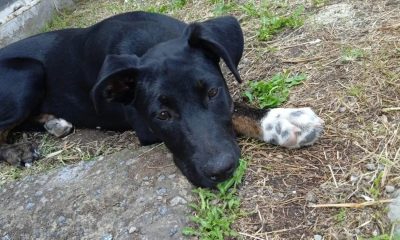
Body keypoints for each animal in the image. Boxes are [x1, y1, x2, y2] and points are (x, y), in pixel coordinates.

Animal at [0, 11, 324, 188]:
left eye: (213, 93)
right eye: (163, 115)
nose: (222, 172)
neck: (150, 41)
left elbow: (233, 109)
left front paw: (281, 119)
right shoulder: (144, 127)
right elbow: (234, 113)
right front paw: (284, 122)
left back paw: (53, 122)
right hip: (29, 72)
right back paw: (17, 151)